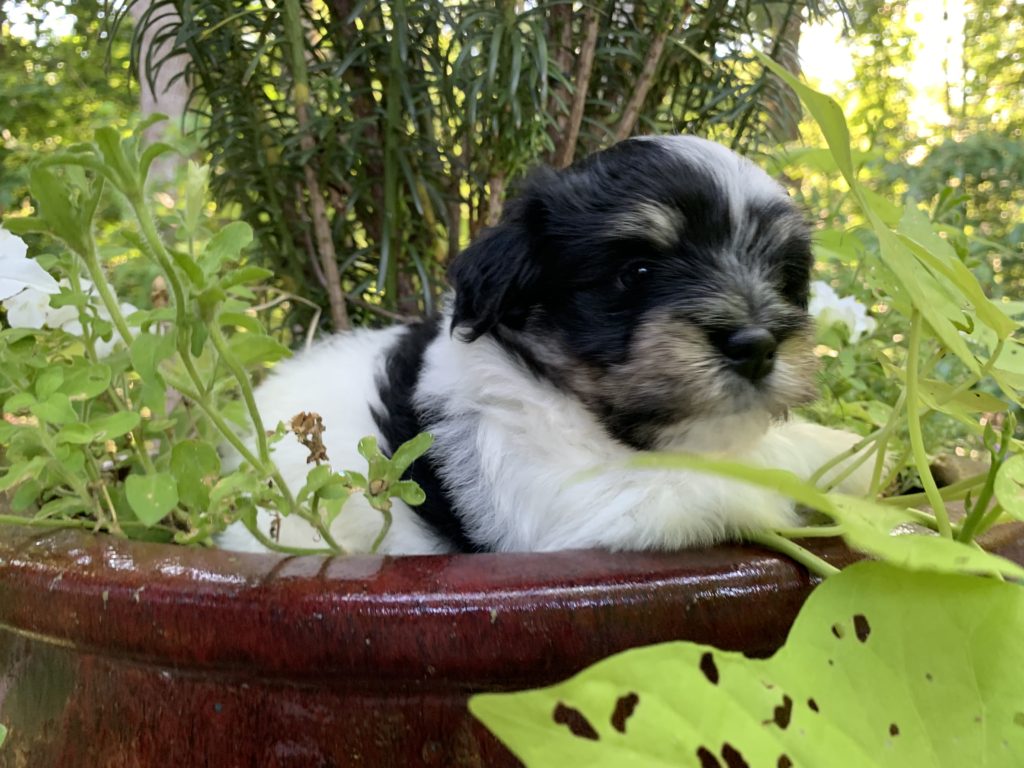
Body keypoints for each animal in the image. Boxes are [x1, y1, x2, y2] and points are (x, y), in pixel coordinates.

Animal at [222, 135, 872, 557]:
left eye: (783, 278)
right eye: (636, 272)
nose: (757, 345)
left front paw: (854, 454)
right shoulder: (582, 500)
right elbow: (753, 463)